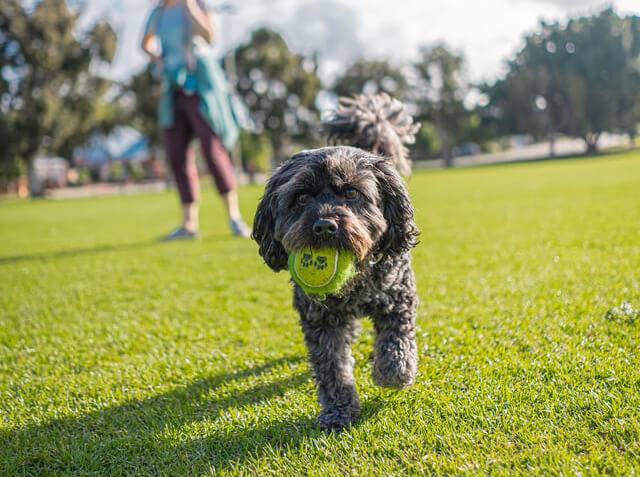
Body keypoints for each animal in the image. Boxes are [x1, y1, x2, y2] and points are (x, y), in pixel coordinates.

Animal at [252, 144, 422, 428]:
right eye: (301, 198)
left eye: (352, 192)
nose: (324, 226)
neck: (355, 279)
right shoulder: (320, 321)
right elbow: (333, 370)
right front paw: (338, 411)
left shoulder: (398, 298)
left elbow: (396, 339)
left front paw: (393, 372)